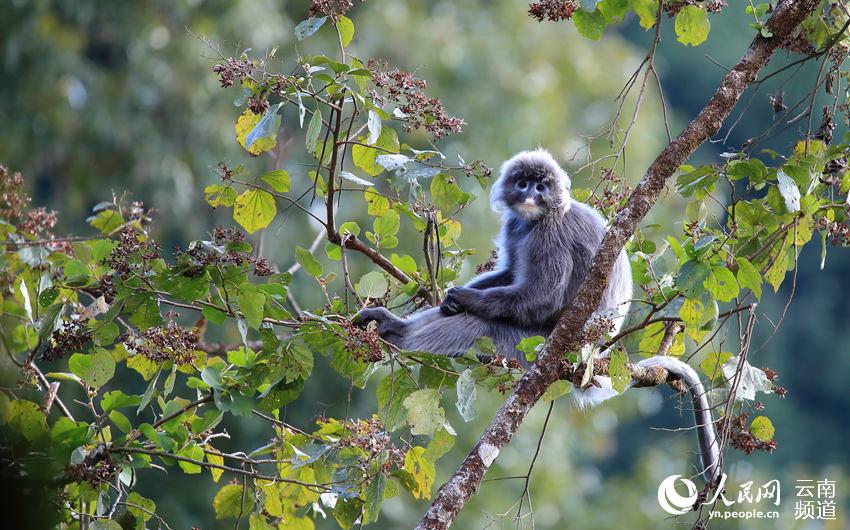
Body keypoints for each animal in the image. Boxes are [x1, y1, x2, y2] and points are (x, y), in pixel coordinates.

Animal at [354, 148, 720, 482]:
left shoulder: (550, 233)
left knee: (480, 323)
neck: (536, 218)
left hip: (536, 344)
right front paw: (450, 299)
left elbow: (541, 296)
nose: (531, 195)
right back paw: (393, 325)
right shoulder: (516, 225)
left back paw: (402, 334)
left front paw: (462, 297)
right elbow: (510, 274)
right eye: (523, 183)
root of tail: (594, 355)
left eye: (541, 187)